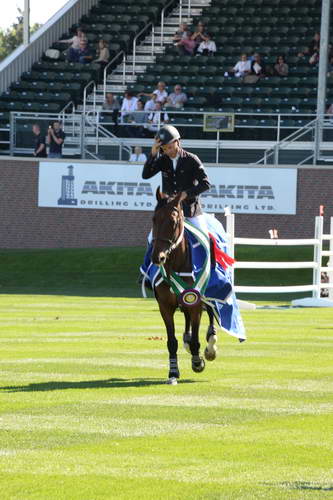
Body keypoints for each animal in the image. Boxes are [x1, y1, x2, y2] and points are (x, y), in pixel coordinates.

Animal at [150, 189, 217, 384]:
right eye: (154, 219)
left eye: (173, 221)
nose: (158, 257)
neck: (176, 264)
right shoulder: (165, 306)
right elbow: (171, 341)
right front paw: (173, 372)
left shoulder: (195, 301)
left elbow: (196, 339)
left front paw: (197, 362)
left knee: (211, 313)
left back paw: (211, 344)